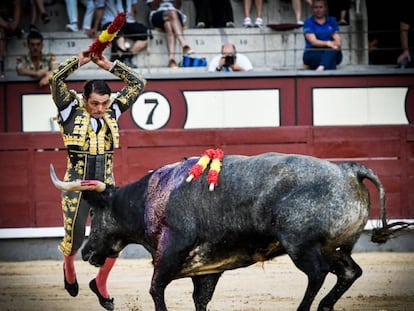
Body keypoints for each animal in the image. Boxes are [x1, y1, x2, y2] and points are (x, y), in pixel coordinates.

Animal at [50, 152, 392, 310]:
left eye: (94, 213)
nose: (86, 252)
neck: (151, 196)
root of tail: (348, 169)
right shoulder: (207, 269)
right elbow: (200, 299)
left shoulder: (170, 251)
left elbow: (156, 289)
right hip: (333, 248)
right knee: (349, 271)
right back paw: (325, 305)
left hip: (302, 246)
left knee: (317, 274)